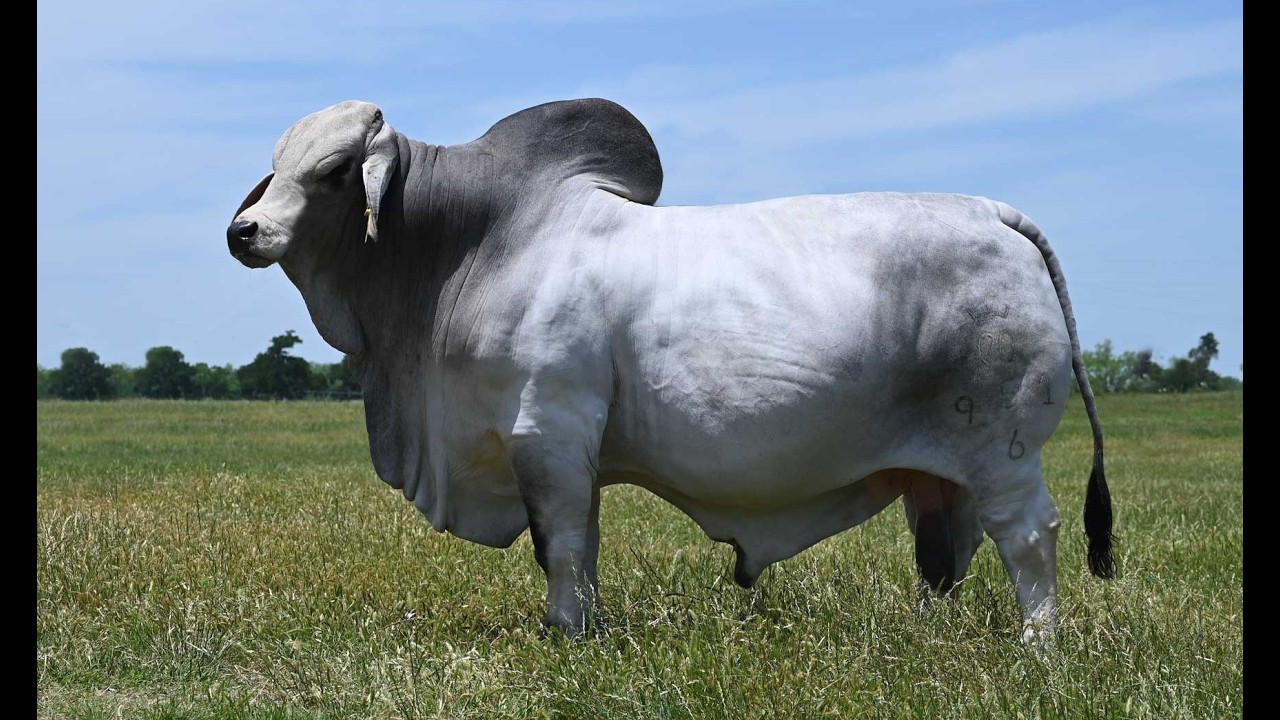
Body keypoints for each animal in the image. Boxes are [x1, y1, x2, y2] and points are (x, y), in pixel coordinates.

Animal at [226, 98, 1114, 643]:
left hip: (1002, 451)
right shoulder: (563, 448)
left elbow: (560, 544)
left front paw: (565, 633)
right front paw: (578, 629)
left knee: (1028, 537)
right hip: (941, 471)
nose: (246, 231)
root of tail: (993, 213)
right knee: (945, 551)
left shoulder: (546, 431)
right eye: (277, 161)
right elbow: (582, 546)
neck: (468, 250)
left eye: (334, 169)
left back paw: (1037, 644)